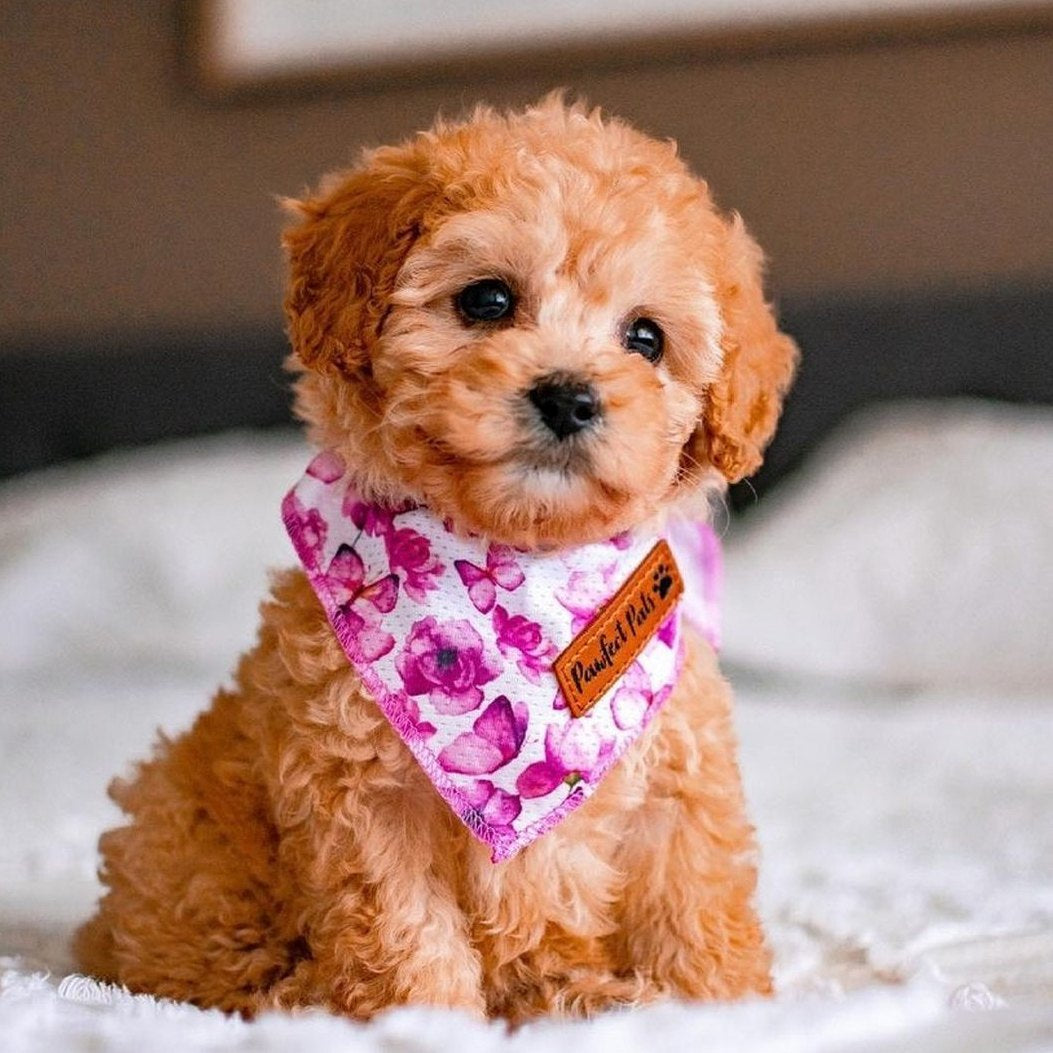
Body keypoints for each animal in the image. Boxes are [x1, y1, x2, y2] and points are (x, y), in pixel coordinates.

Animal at [76, 96, 796, 1019]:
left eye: (645, 338)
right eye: (487, 298)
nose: (568, 394)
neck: (516, 560)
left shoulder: (677, 772)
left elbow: (693, 904)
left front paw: (715, 1004)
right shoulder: (364, 797)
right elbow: (404, 930)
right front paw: (420, 1020)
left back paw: (579, 989)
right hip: (177, 831)